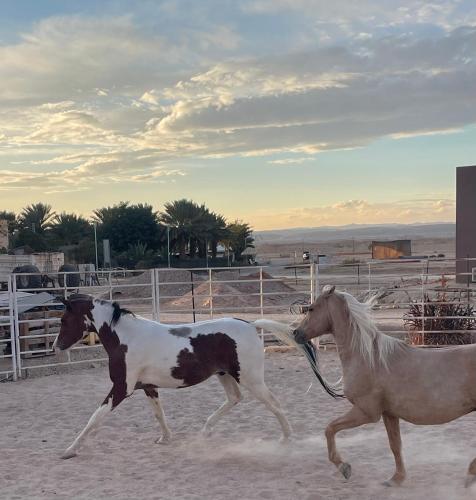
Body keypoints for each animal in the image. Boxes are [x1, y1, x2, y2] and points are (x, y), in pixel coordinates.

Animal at [55, 292, 294, 460]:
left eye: (64, 320)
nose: (56, 346)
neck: (126, 338)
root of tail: (252, 325)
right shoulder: (148, 387)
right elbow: (158, 414)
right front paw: (165, 438)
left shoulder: (122, 387)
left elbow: (94, 418)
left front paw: (69, 450)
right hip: (225, 375)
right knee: (235, 398)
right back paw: (205, 431)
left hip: (250, 378)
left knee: (274, 403)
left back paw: (285, 439)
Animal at [292, 288, 476, 486]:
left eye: (311, 309)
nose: (295, 333)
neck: (369, 358)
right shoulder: (389, 414)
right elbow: (395, 445)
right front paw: (396, 479)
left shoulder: (367, 413)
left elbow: (330, 429)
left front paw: (344, 467)